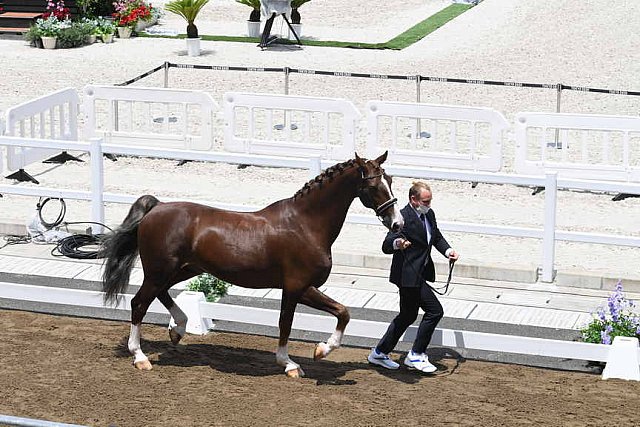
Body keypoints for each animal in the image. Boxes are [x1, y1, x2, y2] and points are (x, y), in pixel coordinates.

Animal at [100, 153, 402, 378]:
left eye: (389, 180)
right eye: (373, 185)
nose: (397, 223)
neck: (305, 224)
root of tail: (157, 207)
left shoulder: (298, 289)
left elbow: (337, 314)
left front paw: (312, 353)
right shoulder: (298, 287)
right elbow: (300, 321)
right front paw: (301, 359)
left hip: (183, 269)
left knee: (160, 295)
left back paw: (178, 330)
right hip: (160, 270)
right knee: (139, 303)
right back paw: (140, 356)